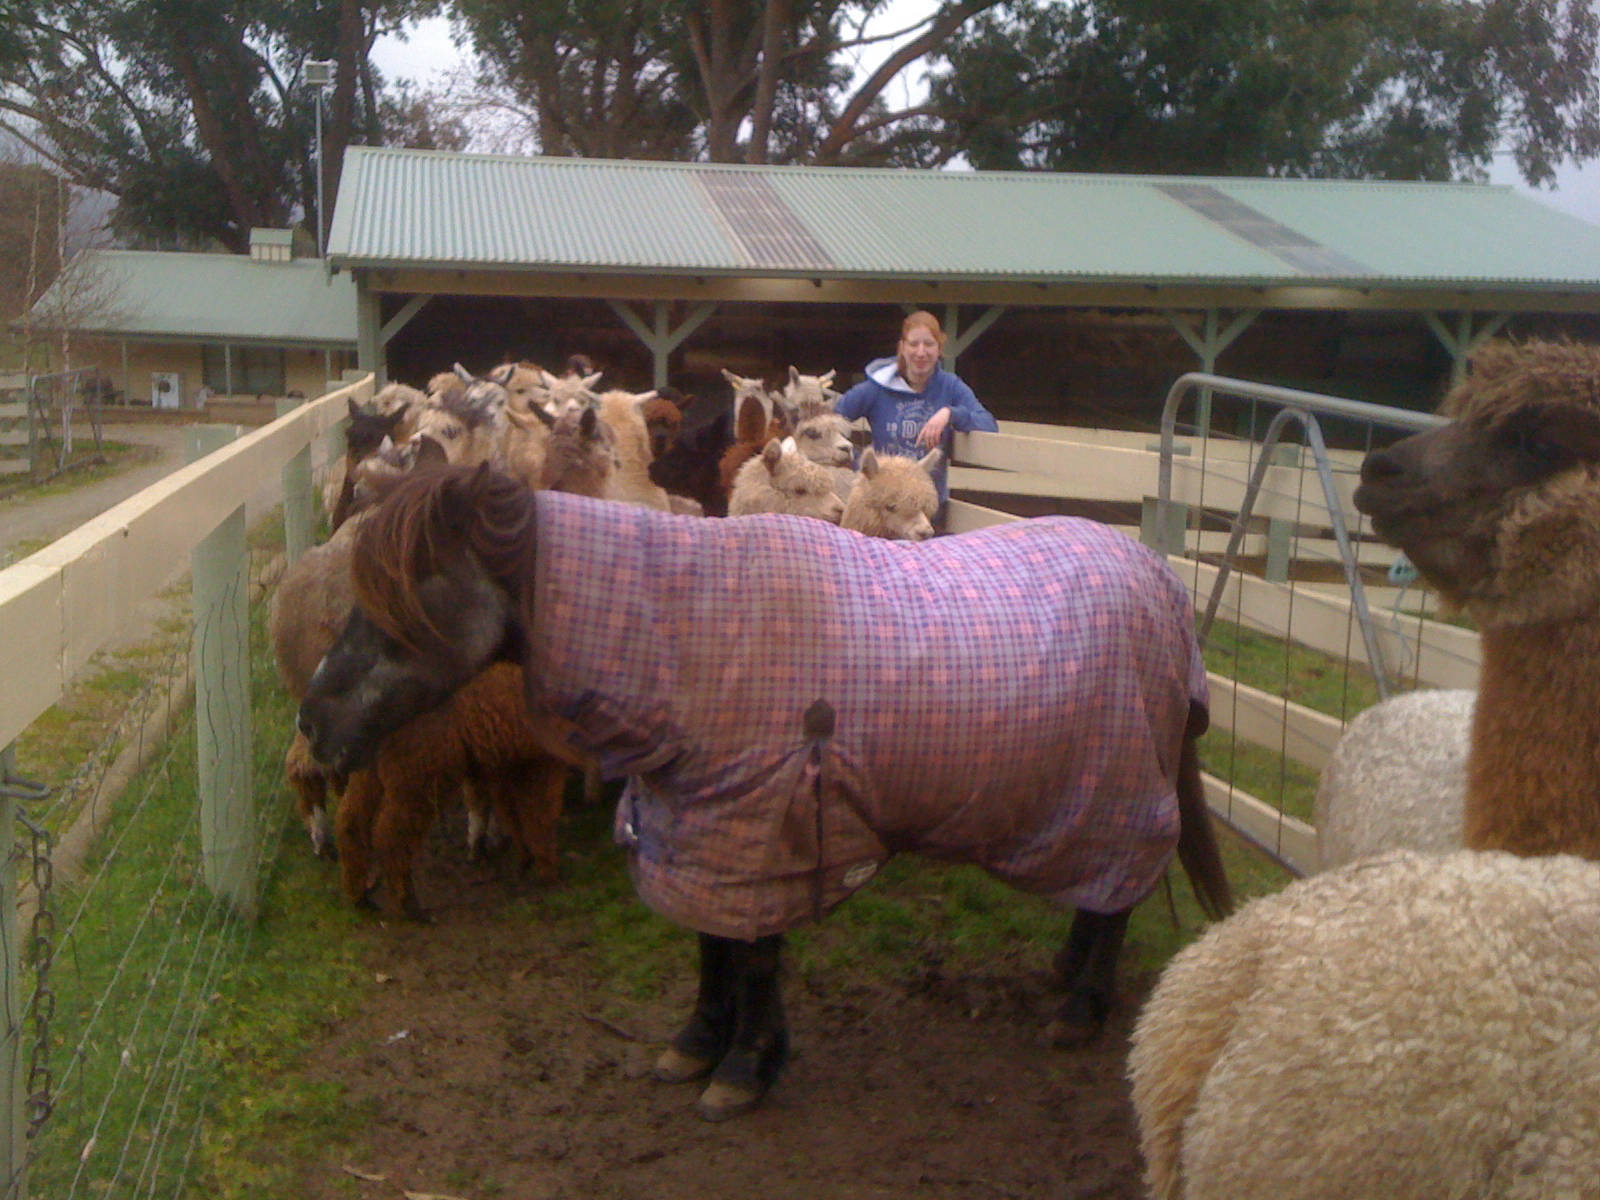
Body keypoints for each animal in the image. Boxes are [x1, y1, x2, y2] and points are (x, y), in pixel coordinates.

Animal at [302, 464, 1235, 1126]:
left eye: (402, 595)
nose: (314, 717)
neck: (695, 635)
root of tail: (1161, 586)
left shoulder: (756, 834)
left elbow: (750, 958)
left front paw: (745, 1069)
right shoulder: (704, 832)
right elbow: (712, 947)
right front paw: (697, 1046)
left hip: (1119, 794)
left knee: (1118, 896)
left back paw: (1080, 1009)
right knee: (1100, 898)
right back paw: (1063, 974)